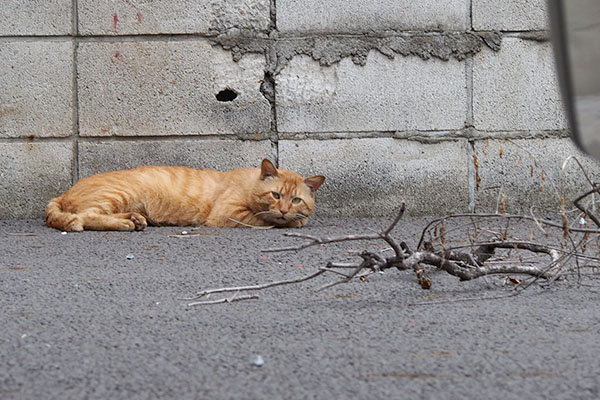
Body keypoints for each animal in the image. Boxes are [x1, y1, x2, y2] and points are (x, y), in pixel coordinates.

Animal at [47, 159, 326, 231]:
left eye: (296, 199)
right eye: (276, 195)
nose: (284, 210)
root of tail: (64, 191)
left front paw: (296, 218)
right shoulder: (227, 213)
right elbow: (265, 219)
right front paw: (291, 221)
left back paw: (135, 220)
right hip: (118, 194)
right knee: (86, 217)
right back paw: (126, 223)